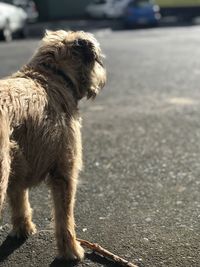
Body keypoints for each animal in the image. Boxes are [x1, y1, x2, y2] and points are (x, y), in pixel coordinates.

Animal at [0, 29, 106, 262]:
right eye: (97, 60)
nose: (104, 76)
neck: (51, 76)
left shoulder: (19, 167)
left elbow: (20, 200)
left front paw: (23, 229)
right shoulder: (64, 170)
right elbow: (64, 216)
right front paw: (71, 251)